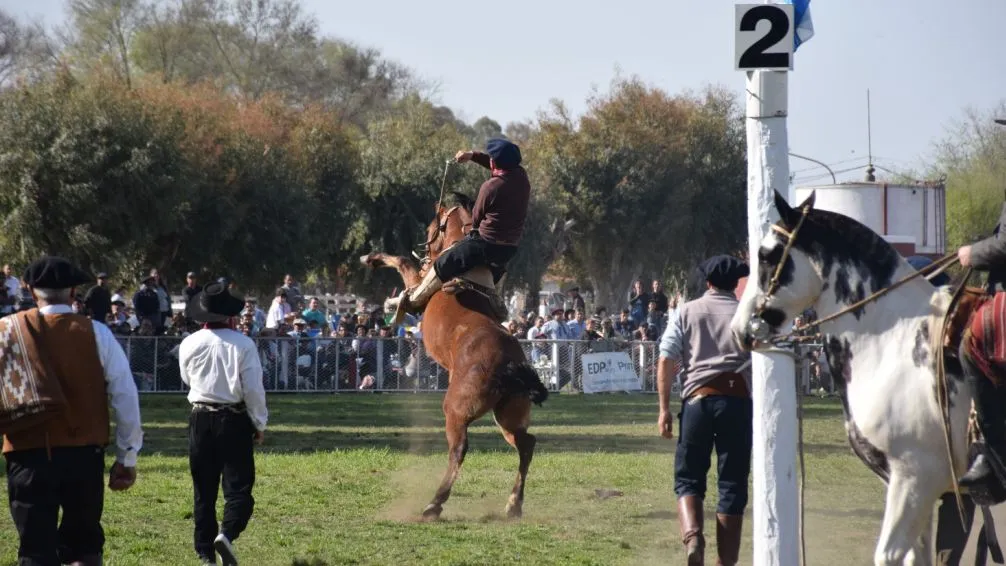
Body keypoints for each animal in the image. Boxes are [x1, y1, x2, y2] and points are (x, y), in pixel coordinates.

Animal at [360, 193, 551, 518]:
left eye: (431, 225)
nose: (427, 251)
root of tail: (511, 363)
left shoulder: (419, 281)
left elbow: (402, 262)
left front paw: (373, 262)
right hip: (508, 414)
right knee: (527, 444)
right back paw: (513, 504)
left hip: (457, 411)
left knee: (459, 450)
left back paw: (434, 504)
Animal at [732, 193, 973, 562]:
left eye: (767, 255)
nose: (740, 329)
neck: (892, 342)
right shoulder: (915, 488)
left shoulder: (915, 478)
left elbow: (888, 555)